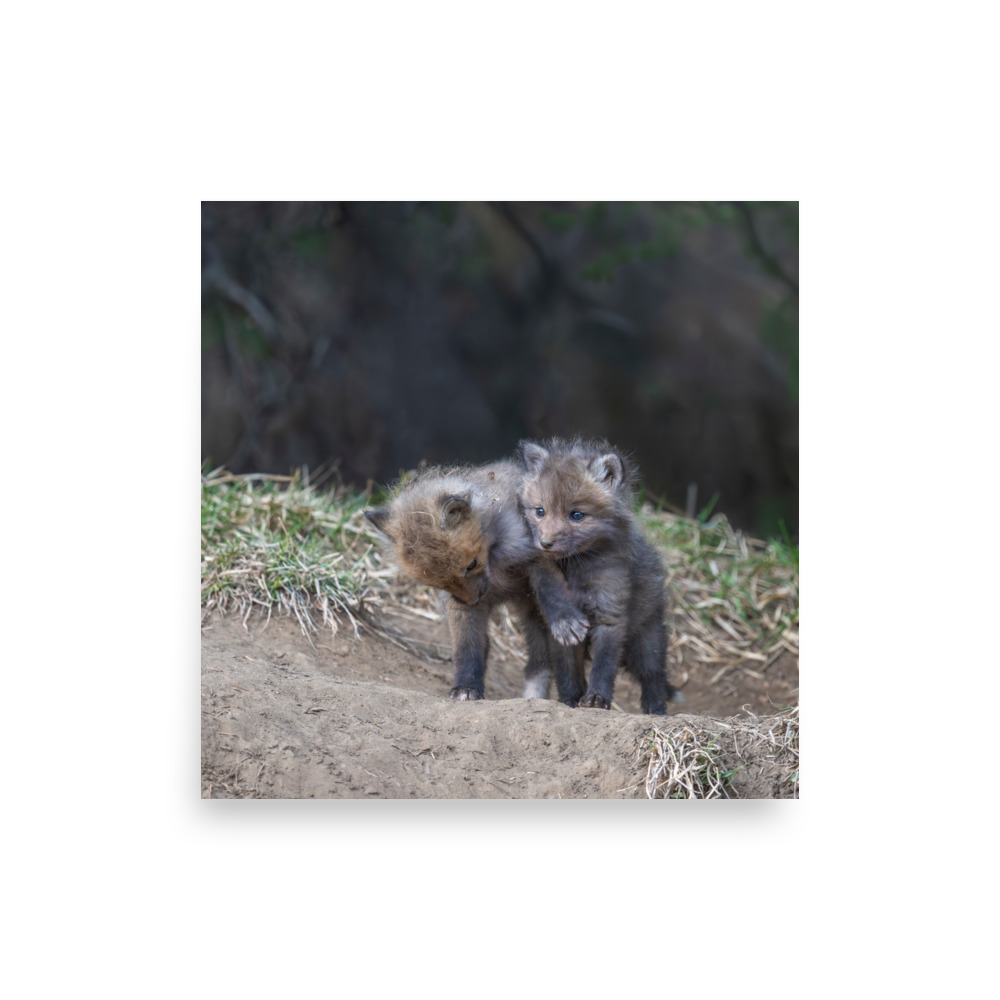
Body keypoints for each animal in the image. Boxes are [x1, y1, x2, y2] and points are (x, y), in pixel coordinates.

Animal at [363, 459, 589, 702]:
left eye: (471, 565)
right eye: (437, 583)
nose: (473, 600)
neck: (495, 561)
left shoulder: (537, 553)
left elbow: (551, 590)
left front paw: (565, 620)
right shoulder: (459, 607)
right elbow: (467, 648)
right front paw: (466, 687)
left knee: (561, 664)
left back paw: (570, 699)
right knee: (538, 662)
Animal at [516, 437, 676, 715]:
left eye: (577, 515)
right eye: (540, 511)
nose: (545, 543)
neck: (576, 571)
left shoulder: (610, 615)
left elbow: (603, 666)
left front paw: (596, 699)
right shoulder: (561, 629)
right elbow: (567, 671)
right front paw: (569, 700)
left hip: (647, 641)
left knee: (654, 677)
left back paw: (656, 712)